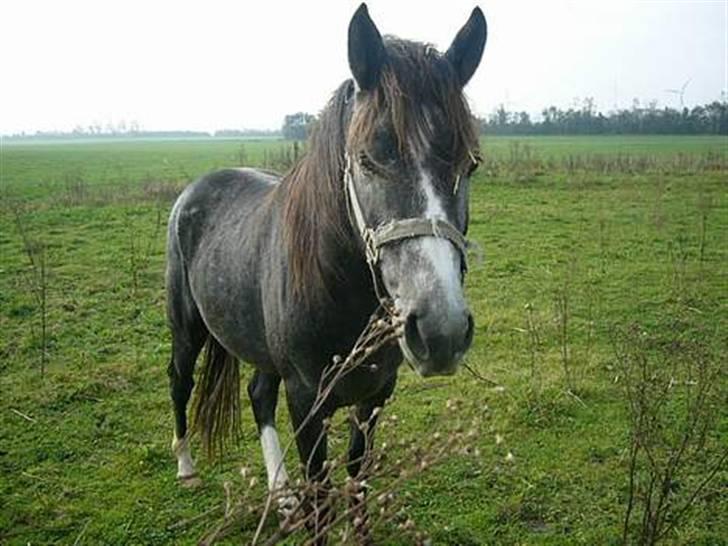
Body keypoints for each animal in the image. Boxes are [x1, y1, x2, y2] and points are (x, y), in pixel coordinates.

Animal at [168, 0, 486, 532]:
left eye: (471, 164)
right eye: (368, 157)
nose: (440, 330)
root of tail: (196, 188)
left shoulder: (375, 394)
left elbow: (358, 480)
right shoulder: (306, 402)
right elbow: (321, 497)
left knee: (257, 392)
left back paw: (281, 496)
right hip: (187, 327)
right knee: (180, 378)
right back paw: (187, 469)